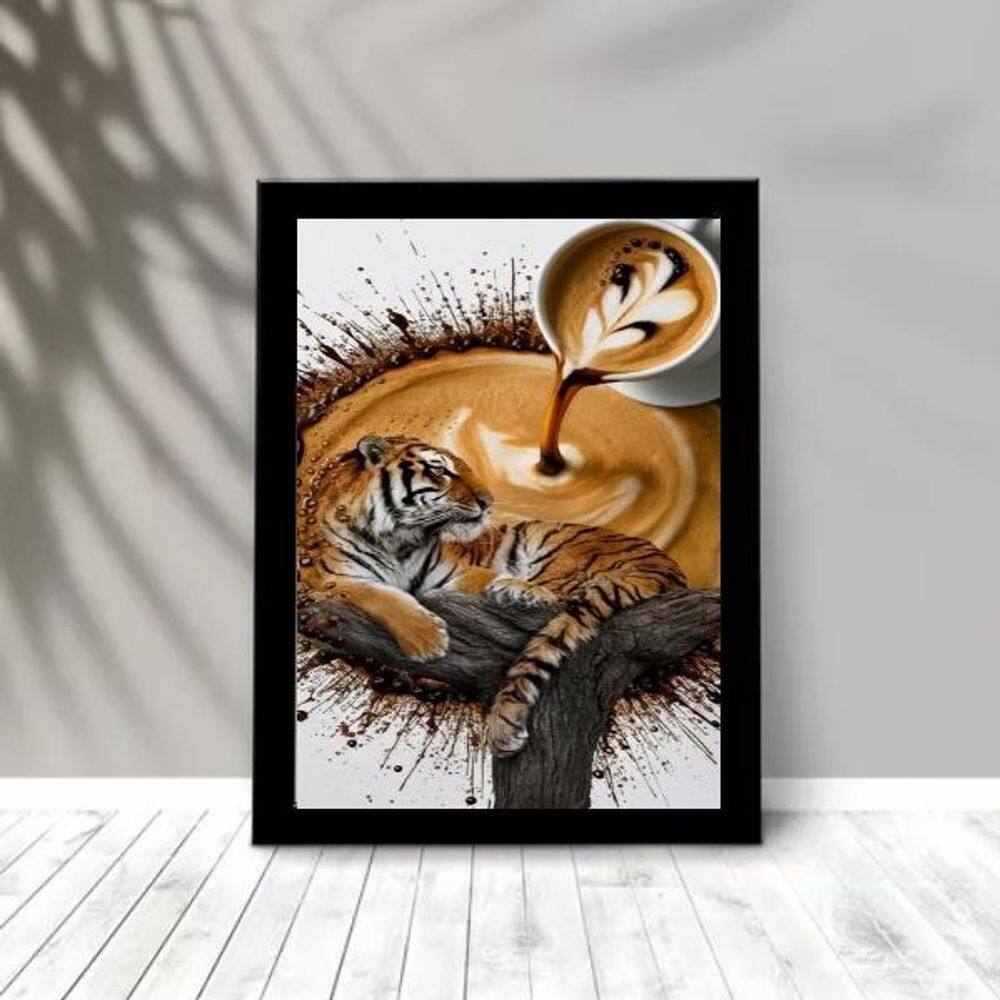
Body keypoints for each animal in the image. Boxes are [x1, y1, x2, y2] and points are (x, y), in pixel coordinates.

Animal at [298, 434, 686, 757]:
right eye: (440, 470)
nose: (488, 502)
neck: (399, 539)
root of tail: (667, 565)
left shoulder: (451, 573)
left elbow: (485, 576)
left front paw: (509, 589)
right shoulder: (332, 580)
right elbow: (382, 596)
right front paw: (427, 640)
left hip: (557, 549)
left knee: (559, 597)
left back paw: (523, 592)